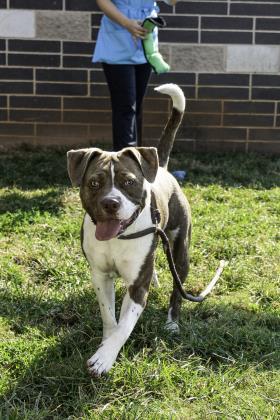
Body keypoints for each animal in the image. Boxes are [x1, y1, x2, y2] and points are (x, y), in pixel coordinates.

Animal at [66, 83, 191, 376]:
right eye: (94, 183)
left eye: (129, 182)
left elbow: (124, 326)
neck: (119, 236)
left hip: (180, 252)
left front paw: (105, 357)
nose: (111, 203)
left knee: (177, 292)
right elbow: (109, 317)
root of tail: (162, 168)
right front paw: (105, 344)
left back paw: (172, 324)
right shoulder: (100, 275)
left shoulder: (137, 287)